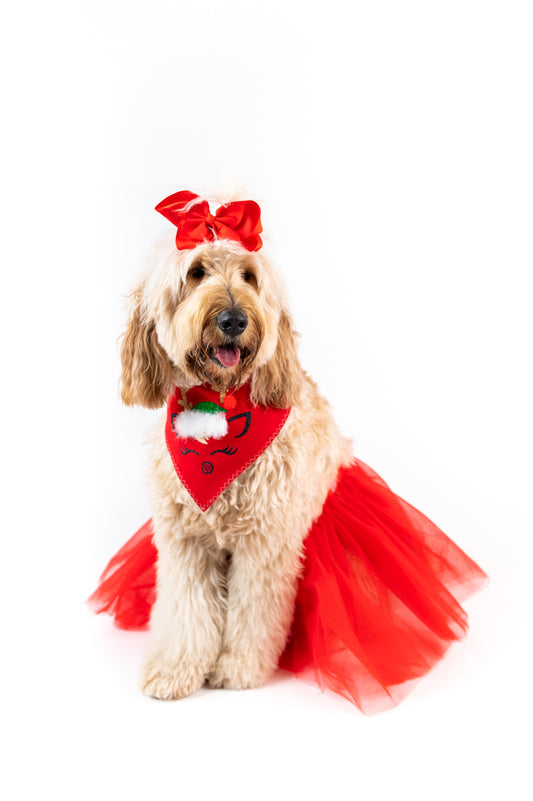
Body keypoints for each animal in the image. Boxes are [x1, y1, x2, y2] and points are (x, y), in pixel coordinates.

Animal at [121, 203, 354, 696]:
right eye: (196, 272)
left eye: (249, 276)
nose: (233, 319)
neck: (219, 405)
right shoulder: (184, 542)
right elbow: (187, 611)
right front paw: (176, 667)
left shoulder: (265, 544)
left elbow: (253, 614)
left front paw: (238, 667)